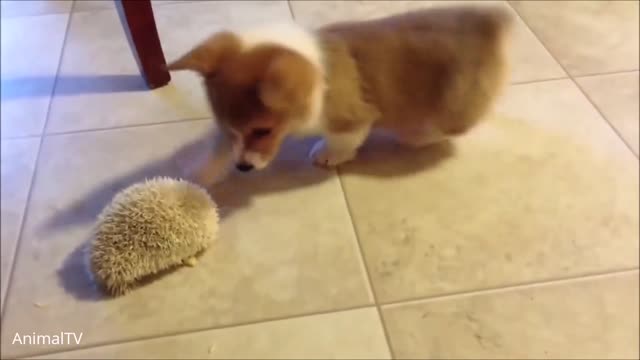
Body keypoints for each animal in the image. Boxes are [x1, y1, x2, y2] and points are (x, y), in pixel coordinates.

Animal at [168, 4, 512, 186]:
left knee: (451, 125)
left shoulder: (352, 118)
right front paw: (199, 174)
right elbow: (217, 148)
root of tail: (489, 18)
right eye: (232, 129)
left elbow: (343, 139)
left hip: (453, 103)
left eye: (263, 131)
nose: (243, 169)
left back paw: (418, 134)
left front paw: (327, 155)